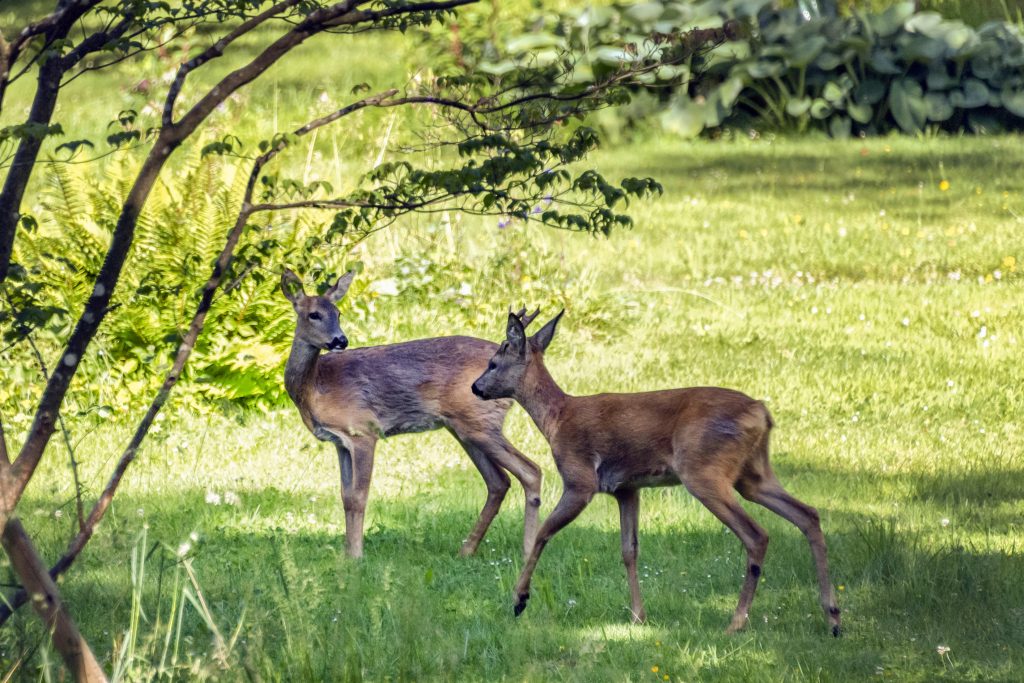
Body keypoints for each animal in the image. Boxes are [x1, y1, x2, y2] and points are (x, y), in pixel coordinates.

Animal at [280, 270, 544, 557]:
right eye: (314, 314)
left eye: (338, 313)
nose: (341, 340)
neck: (316, 386)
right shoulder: (340, 442)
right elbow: (345, 497)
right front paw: (346, 555)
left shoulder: (363, 430)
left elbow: (359, 496)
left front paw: (357, 555)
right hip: (464, 427)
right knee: (499, 481)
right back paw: (466, 551)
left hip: (479, 423)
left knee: (531, 471)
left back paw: (527, 549)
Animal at [471, 309, 839, 634]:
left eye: (493, 363)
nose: (475, 387)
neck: (557, 419)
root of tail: (762, 412)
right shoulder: (626, 488)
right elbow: (629, 550)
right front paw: (638, 616)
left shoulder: (580, 479)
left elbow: (544, 532)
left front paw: (519, 599)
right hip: (753, 474)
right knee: (807, 514)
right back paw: (833, 617)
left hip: (703, 470)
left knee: (757, 533)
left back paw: (736, 623)